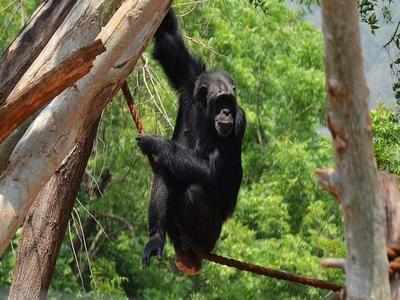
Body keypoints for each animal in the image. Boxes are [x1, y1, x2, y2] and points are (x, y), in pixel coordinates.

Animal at [137, 8, 247, 276]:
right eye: (221, 100)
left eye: (229, 101)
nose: (226, 112)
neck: (205, 109)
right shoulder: (187, 74)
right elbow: (166, 36)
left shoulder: (239, 122)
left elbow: (213, 172)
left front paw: (156, 143)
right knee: (165, 170)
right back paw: (156, 238)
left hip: (212, 237)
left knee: (193, 188)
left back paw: (192, 243)